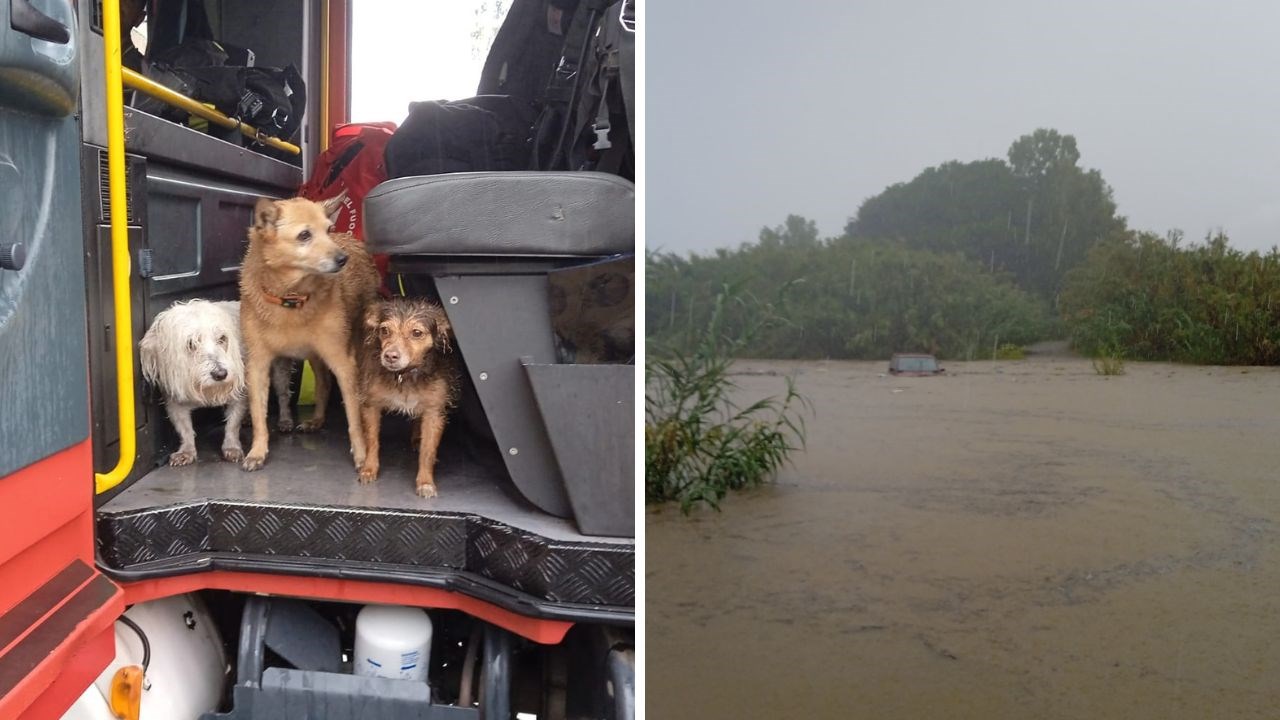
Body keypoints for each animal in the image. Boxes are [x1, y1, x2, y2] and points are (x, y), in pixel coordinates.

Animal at [141, 298, 293, 461]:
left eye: (222, 338)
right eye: (191, 343)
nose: (221, 374)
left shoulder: (238, 391)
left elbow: (232, 424)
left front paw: (231, 447)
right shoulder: (174, 401)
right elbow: (185, 429)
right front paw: (186, 450)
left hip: (279, 372)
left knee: (283, 395)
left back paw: (285, 420)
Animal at [239, 190, 378, 471]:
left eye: (329, 230)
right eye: (304, 235)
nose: (342, 259)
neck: (290, 298)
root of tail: (352, 241)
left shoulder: (343, 363)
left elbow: (353, 416)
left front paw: (361, 453)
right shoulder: (258, 365)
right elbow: (259, 415)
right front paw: (257, 451)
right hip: (315, 356)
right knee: (324, 384)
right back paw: (316, 420)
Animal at [355, 295, 460, 491]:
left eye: (417, 333)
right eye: (384, 330)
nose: (390, 356)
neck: (404, 376)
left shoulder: (434, 411)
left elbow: (428, 450)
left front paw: (425, 482)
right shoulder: (371, 404)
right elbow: (372, 440)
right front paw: (369, 469)